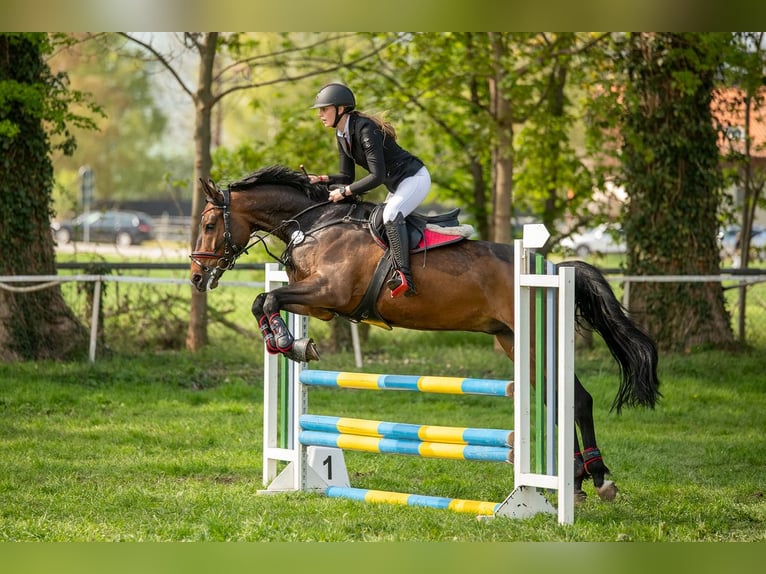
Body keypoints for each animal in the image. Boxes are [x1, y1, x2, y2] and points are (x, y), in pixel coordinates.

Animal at [190, 164, 660, 502]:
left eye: (210, 224)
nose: (196, 277)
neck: (315, 224)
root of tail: (554, 269)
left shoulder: (330, 292)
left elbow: (266, 300)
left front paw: (289, 343)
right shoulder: (321, 305)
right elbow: (263, 302)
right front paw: (296, 344)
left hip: (535, 339)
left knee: (577, 400)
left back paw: (596, 479)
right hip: (515, 343)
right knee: (560, 400)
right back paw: (578, 482)